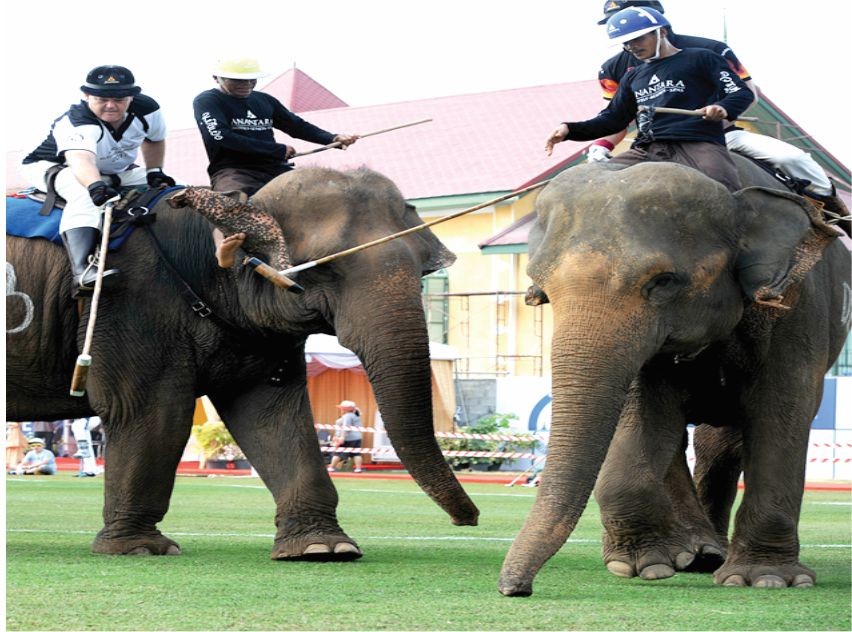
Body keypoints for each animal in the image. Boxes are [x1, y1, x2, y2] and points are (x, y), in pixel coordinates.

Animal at [6, 167, 480, 556]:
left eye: (423, 272)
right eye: (323, 270)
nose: (469, 520)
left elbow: (272, 414)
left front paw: (323, 548)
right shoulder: (129, 304)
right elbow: (152, 411)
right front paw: (139, 549)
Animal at [496, 156, 848, 596]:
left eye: (663, 281)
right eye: (541, 289)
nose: (515, 589)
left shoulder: (797, 307)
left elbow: (782, 411)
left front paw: (766, 579)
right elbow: (643, 418)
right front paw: (645, 565)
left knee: (721, 444)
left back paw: (714, 555)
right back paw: (699, 552)